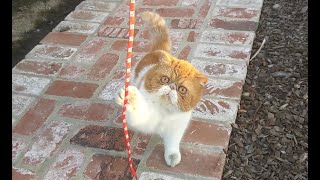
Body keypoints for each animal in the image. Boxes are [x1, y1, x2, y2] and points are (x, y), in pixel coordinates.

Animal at [115, 11, 208, 167]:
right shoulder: (144, 120)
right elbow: (137, 110)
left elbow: (172, 144)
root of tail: (159, 50)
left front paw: (172, 156)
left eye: (182, 89)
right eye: (165, 79)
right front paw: (132, 99)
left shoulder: (176, 129)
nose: (172, 87)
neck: (165, 112)